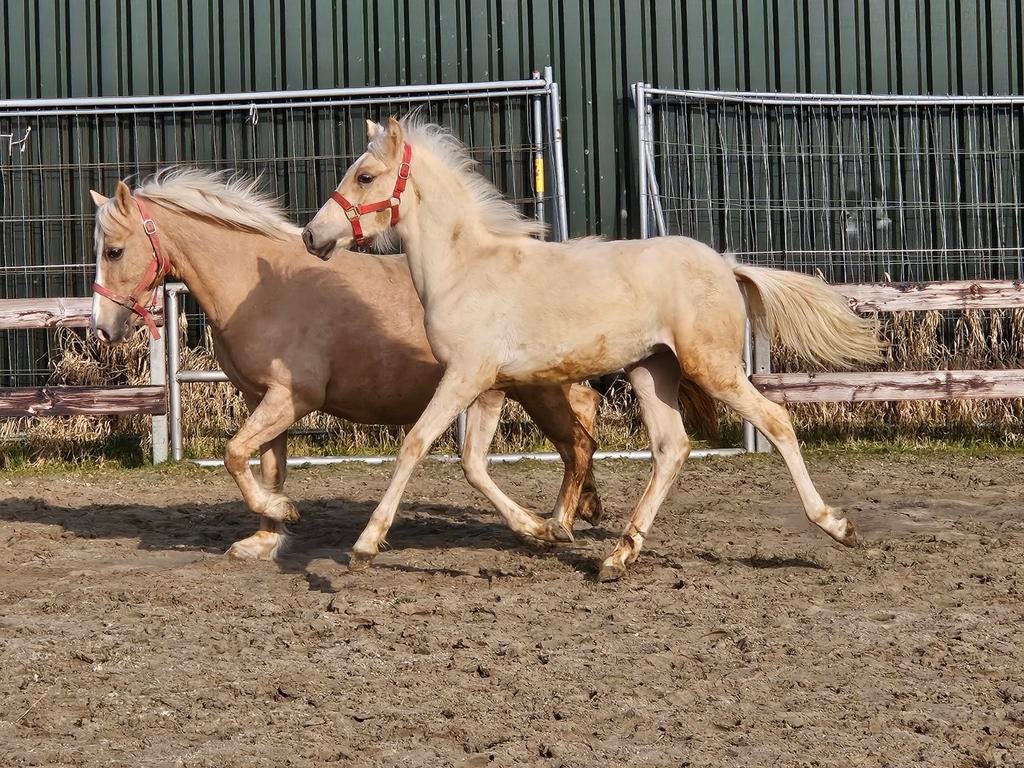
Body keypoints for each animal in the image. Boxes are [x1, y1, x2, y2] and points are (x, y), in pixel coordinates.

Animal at [88, 168, 611, 560]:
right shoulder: (263, 399)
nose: (102, 328)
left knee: (578, 443)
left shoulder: (292, 397)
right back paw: (584, 508)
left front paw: (284, 513)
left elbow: (235, 454)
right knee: (583, 418)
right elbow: (268, 466)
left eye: (114, 250)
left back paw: (557, 523)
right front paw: (267, 536)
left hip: (535, 388)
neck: (259, 289)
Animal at [302, 117, 883, 581]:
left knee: (775, 420)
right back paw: (618, 557)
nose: (312, 235)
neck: (466, 269)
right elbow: (472, 463)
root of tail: (726, 263)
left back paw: (838, 526)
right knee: (672, 447)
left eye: (366, 176)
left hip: (712, 367)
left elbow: (416, 445)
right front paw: (544, 530)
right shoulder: (490, 387)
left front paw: (364, 546)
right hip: (653, 371)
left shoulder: (466, 376)